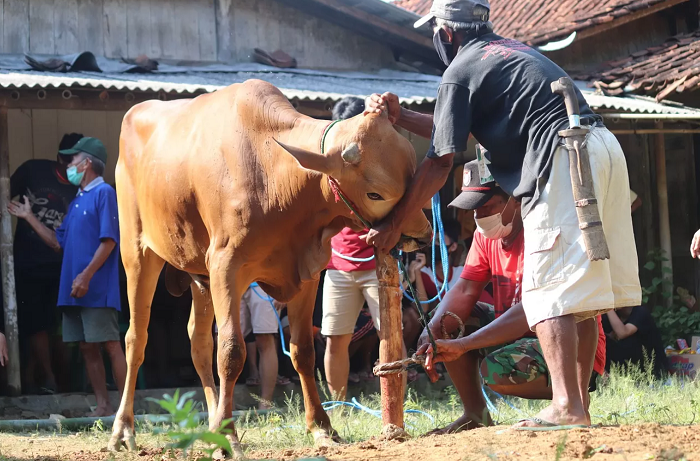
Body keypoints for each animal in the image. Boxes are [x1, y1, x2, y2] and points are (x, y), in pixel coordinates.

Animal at [108, 79, 432, 452]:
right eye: (375, 193)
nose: (424, 234)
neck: (274, 172)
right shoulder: (226, 267)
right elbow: (231, 352)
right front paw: (227, 436)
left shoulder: (307, 274)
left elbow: (303, 351)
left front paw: (321, 427)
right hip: (138, 254)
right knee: (136, 339)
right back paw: (123, 430)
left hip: (199, 276)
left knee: (199, 343)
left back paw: (210, 422)